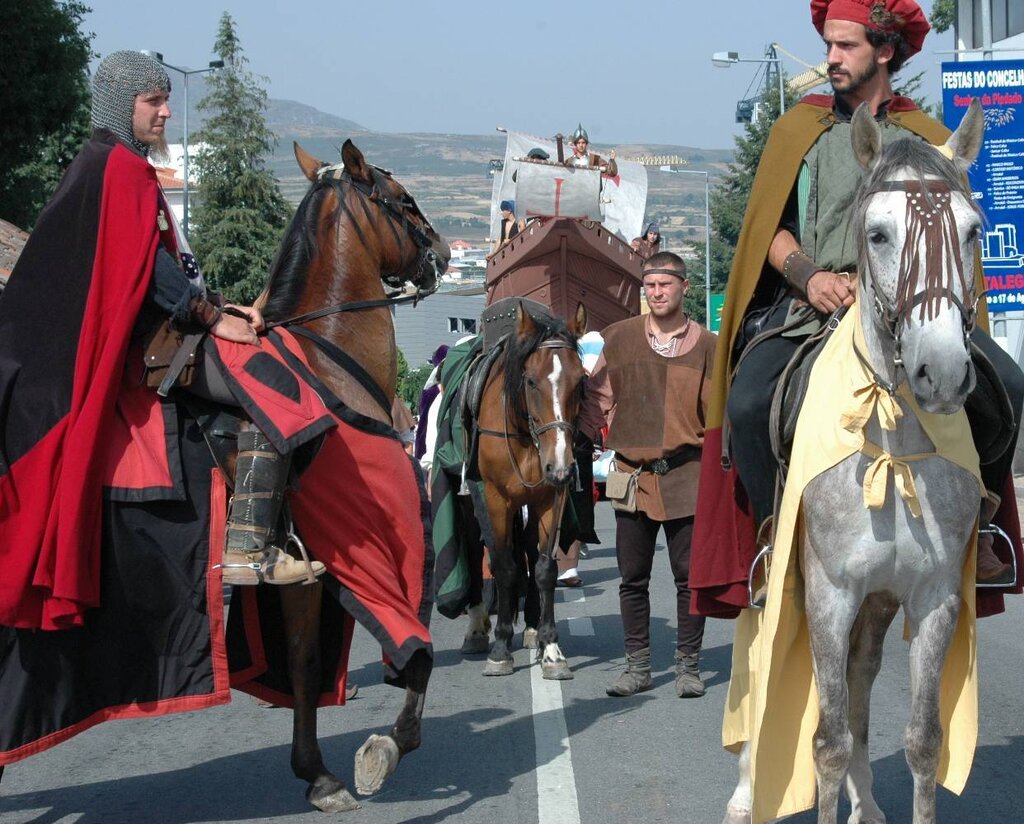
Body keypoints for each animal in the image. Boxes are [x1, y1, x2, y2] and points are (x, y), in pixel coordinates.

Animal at [251, 138, 448, 806]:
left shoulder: (305, 572)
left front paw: (315, 772)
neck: (329, 365)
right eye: (405, 200)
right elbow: (417, 653)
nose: (444, 251)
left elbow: (304, 663)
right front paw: (386, 747)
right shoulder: (371, 553)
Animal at [462, 302, 585, 675]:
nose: (561, 466)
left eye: (581, 381)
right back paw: (479, 629)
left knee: (529, 550)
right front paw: (500, 647)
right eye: (530, 381)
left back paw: (531, 627)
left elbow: (544, 568)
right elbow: (503, 566)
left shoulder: (550, 497)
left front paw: (551, 647)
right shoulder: (495, 499)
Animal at [724, 98, 987, 822]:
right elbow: (828, 743)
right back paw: (745, 790)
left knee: (863, 674)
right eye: (877, 234)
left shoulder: (931, 595)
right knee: (761, 662)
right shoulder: (828, 593)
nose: (942, 373)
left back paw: (866, 804)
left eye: (973, 231)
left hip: (878, 601)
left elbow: (923, 741)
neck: (892, 439)